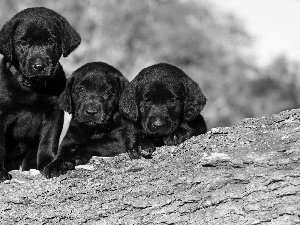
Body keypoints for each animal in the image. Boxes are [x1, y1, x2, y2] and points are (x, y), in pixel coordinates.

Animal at [0, 7, 81, 182]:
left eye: (50, 42)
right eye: (23, 43)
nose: (39, 66)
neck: (33, 88)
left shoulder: (54, 113)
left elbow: (48, 140)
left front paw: (48, 164)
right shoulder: (1, 115)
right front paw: (0, 172)